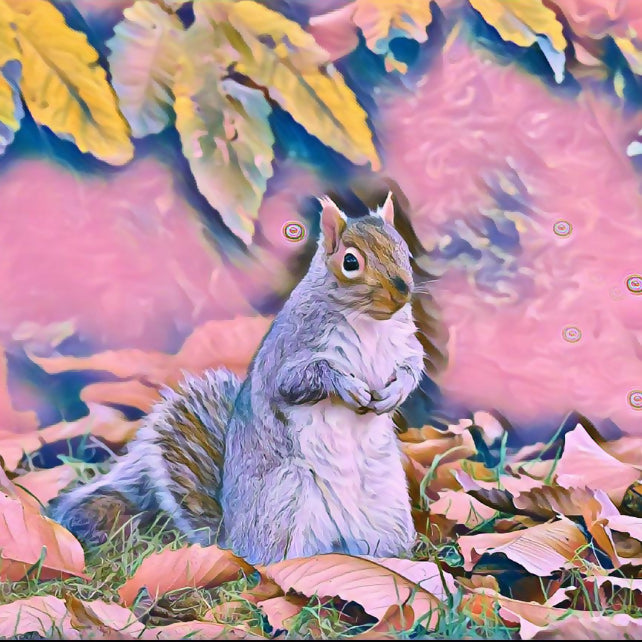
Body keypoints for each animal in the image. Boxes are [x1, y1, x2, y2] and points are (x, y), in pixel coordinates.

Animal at [49, 193, 425, 566]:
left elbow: (412, 364)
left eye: (404, 250)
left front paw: (396, 392)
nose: (403, 290)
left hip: (386, 505)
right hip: (288, 501)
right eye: (350, 262)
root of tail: (232, 539)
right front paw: (348, 386)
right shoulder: (290, 350)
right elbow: (299, 380)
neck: (369, 322)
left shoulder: (404, 344)